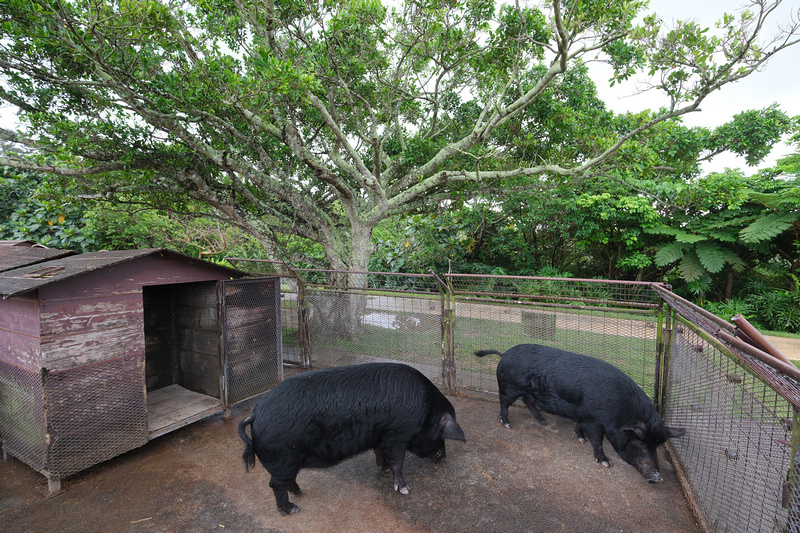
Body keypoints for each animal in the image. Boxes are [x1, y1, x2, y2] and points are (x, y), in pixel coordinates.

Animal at [234, 360, 466, 512]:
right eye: (441, 434)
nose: (444, 457)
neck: (425, 412)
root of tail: (255, 413)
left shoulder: (381, 435)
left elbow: (379, 453)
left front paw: (383, 469)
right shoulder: (398, 435)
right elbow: (398, 462)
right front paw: (405, 490)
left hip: (288, 461)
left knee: (286, 481)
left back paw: (300, 494)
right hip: (283, 457)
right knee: (275, 484)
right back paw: (292, 509)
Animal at [476, 344, 688, 482]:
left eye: (657, 446)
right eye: (638, 442)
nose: (657, 477)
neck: (619, 413)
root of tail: (504, 354)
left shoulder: (584, 414)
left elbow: (579, 426)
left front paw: (580, 439)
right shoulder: (594, 419)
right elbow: (597, 440)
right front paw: (605, 463)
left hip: (526, 391)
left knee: (528, 401)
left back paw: (542, 421)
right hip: (509, 387)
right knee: (503, 404)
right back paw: (507, 424)